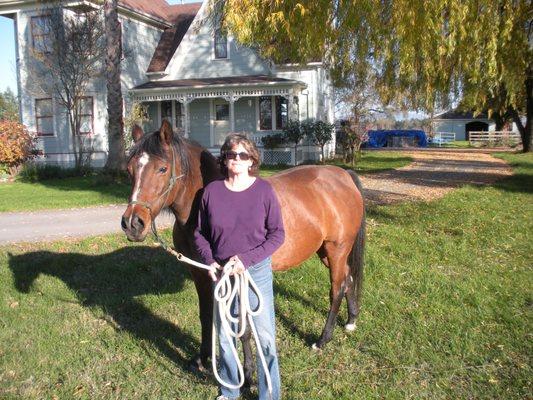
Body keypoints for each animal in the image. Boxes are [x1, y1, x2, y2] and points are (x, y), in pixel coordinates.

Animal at [121, 120, 364, 374]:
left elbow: (242, 325)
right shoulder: (201, 273)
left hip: (337, 249)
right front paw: (202, 358)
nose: (132, 223)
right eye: (129, 170)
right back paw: (350, 321)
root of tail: (343, 176)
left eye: (162, 168)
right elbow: (206, 314)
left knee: (337, 288)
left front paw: (246, 372)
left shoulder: (235, 274)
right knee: (348, 278)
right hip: (325, 251)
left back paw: (322, 340)